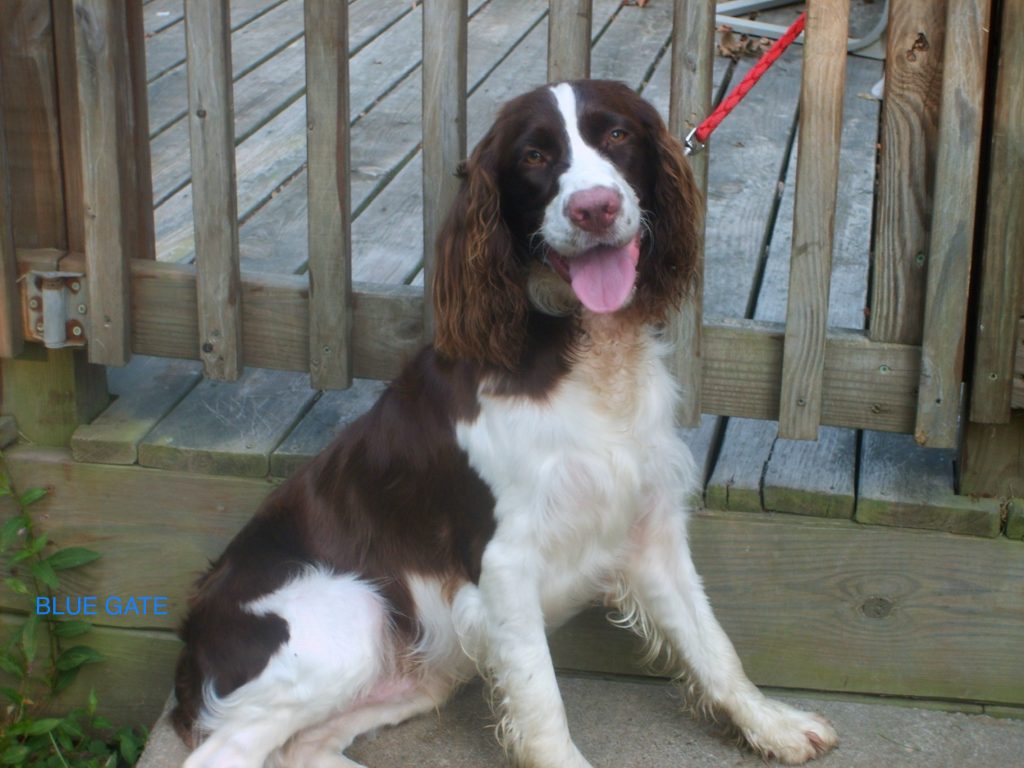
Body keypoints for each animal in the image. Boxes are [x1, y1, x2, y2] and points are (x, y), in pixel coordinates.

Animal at [173, 79, 837, 768]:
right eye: (534, 157)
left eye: (618, 135)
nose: (595, 209)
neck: (581, 354)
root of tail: (191, 643)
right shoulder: (503, 564)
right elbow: (542, 699)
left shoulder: (649, 529)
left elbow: (713, 645)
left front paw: (774, 724)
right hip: (349, 613)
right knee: (220, 754)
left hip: (410, 675)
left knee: (300, 750)